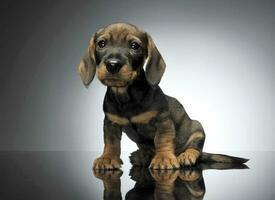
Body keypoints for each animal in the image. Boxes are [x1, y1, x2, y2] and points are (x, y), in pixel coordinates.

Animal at [77, 22, 248, 170]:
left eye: (134, 46)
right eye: (101, 44)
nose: (113, 64)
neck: (126, 95)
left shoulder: (163, 121)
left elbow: (162, 140)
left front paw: (164, 158)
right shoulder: (111, 123)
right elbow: (111, 143)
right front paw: (107, 158)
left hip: (197, 129)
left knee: (196, 149)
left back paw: (186, 155)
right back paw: (142, 155)